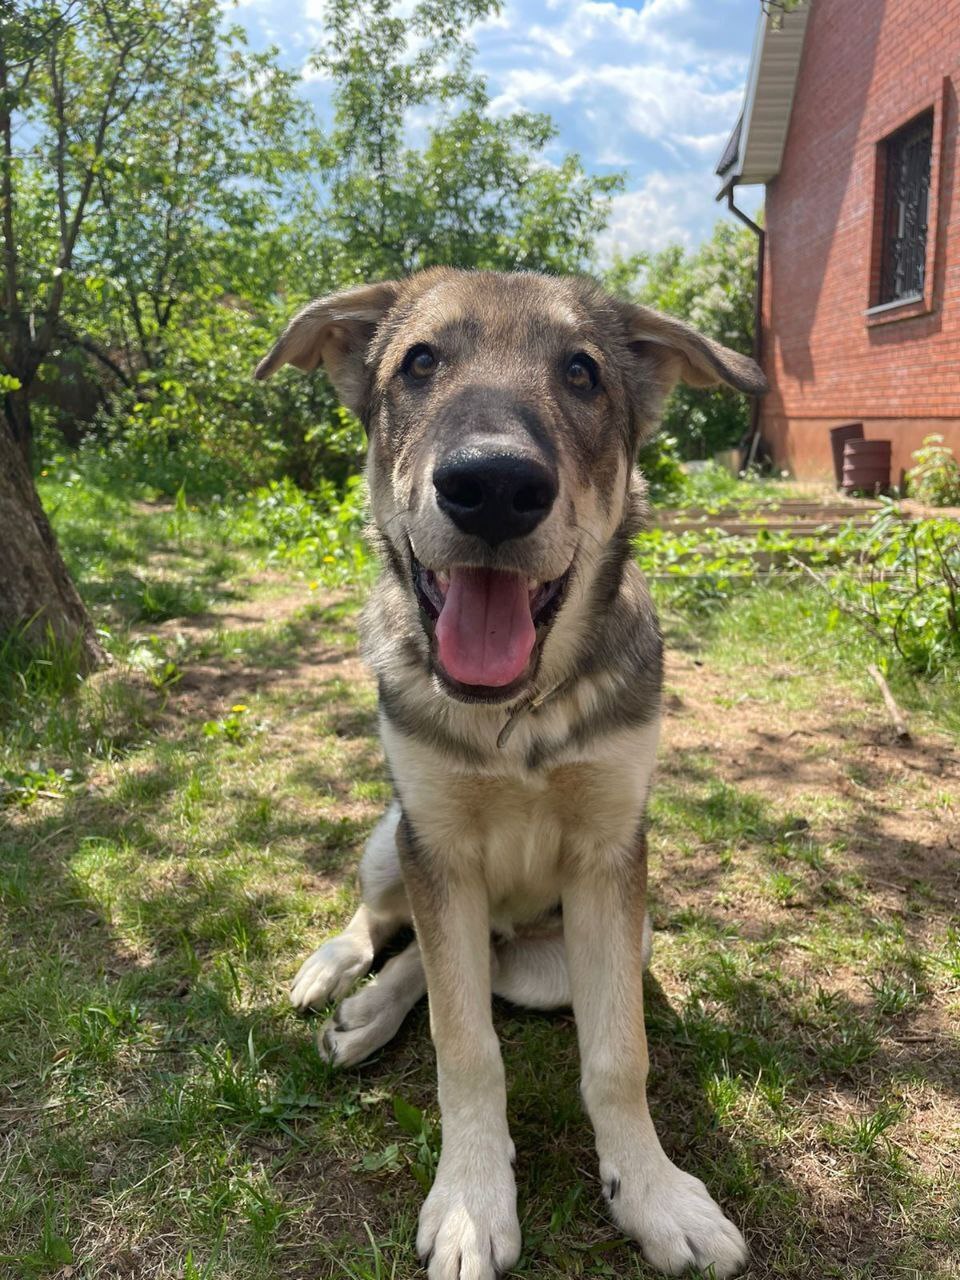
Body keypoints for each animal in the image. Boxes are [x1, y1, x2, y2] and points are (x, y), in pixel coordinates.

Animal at [256, 264, 768, 1274]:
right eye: (419, 362)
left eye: (582, 372)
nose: (493, 485)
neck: (518, 716)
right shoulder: (438, 846)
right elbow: (465, 1047)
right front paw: (469, 1202)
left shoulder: (612, 859)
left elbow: (616, 1054)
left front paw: (652, 1193)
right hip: (393, 839)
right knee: (394, 929)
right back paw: (339, 976)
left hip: (567, 955)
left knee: (478, 964)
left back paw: (369, 1012)